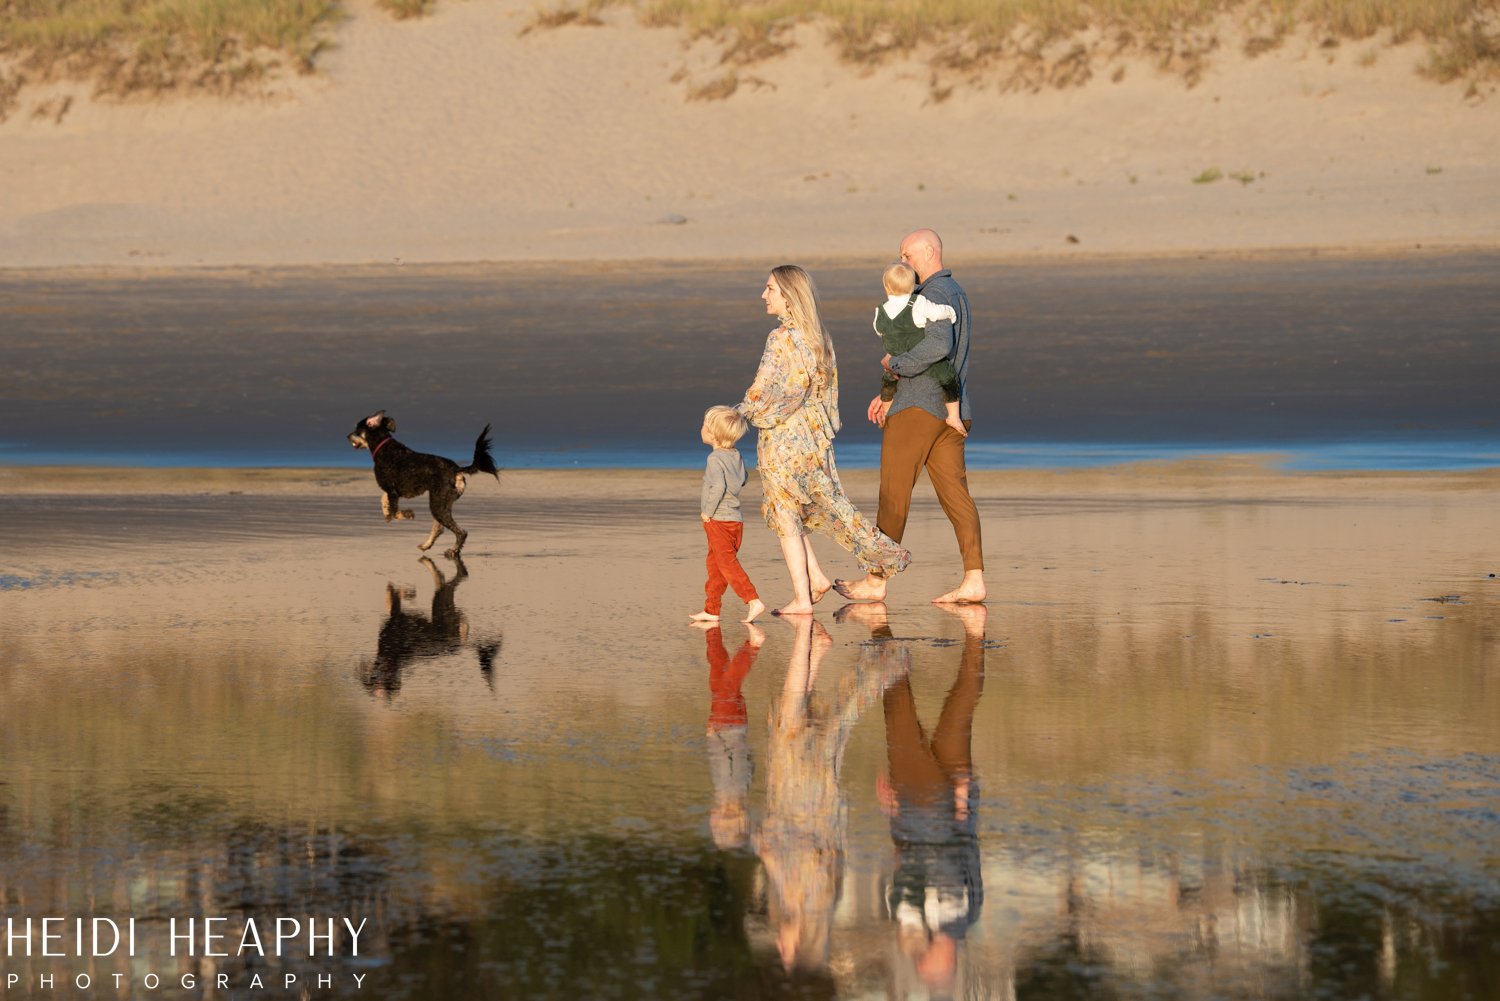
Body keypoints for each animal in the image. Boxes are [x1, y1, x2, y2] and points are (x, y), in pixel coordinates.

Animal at [345, 411, 498, 561]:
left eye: (357, 429)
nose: (347, 436)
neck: (383, 447)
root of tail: (457, 470)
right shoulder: (392, 491)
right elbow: (384, 500)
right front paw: (387, 513)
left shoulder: (392, 491)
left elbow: (395, 512)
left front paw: (406, 514)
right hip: (442, 503)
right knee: (439, 528)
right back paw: (427, 545)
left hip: (437, 503)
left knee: (461, 532)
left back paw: (453, 551)